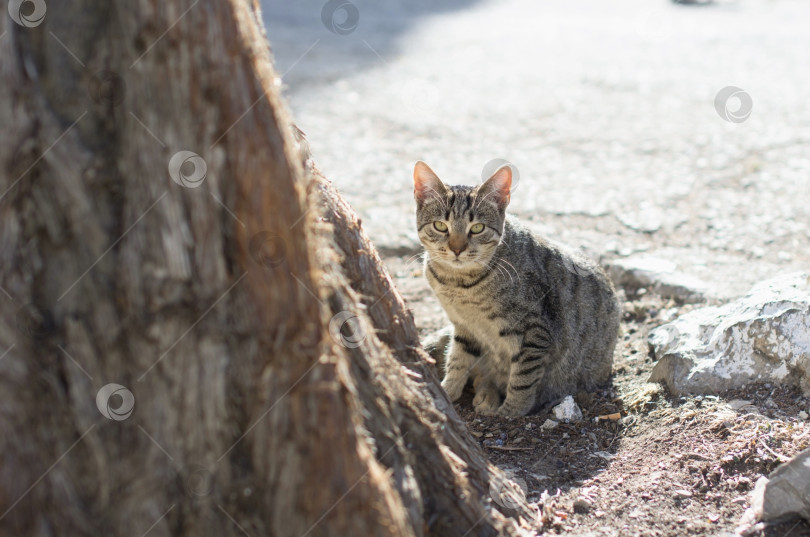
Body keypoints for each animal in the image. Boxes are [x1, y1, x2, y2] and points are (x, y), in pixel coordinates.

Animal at [410, 161, 620, 416]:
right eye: (440, 226)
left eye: (477, 228)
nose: (457, 249)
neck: (457, 283)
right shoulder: (464, 327)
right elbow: (457, 360)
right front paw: (447, 392)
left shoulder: (535, 332)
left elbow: (523, 379)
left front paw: (510, 413)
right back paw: (486, 395)